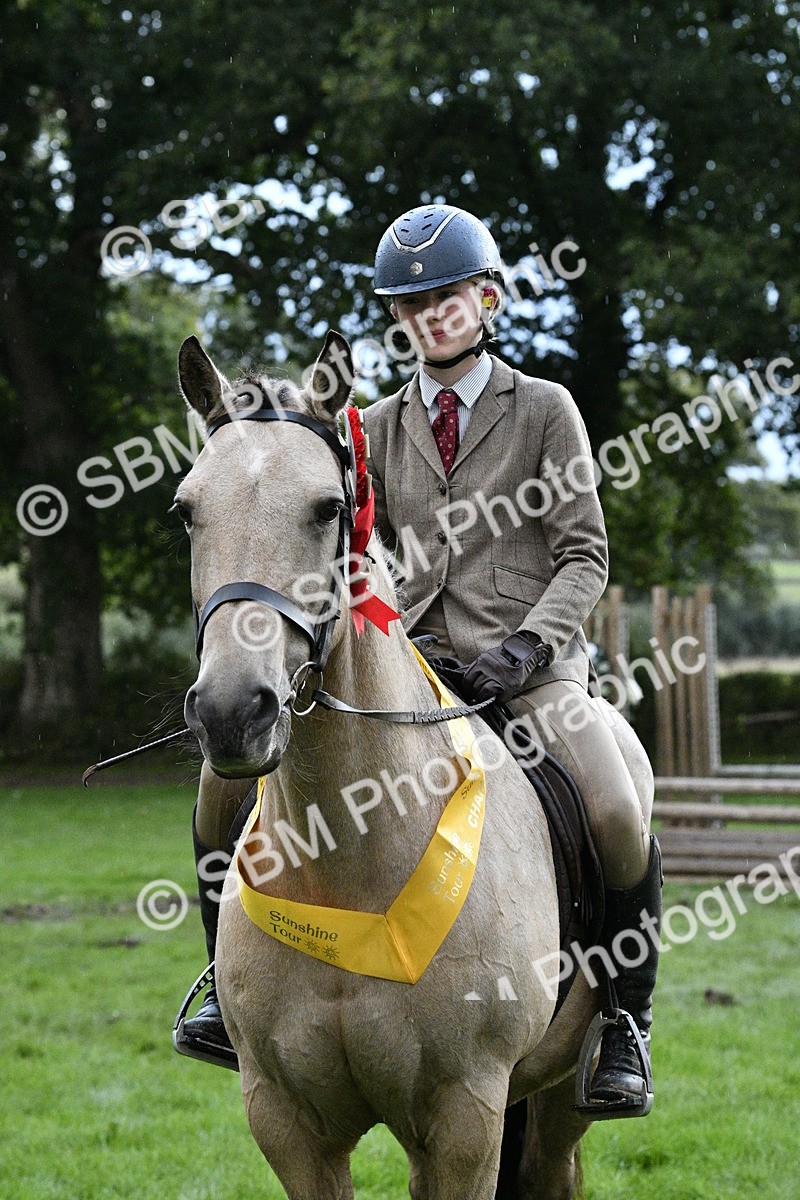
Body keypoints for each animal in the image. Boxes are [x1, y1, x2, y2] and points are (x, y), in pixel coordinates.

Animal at [176, 330, 653, 1200]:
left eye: (328, 510)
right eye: (187, 511)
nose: (233, 712)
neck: (350, 857)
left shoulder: (464, 1117)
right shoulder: (285, 1122)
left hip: (562, 1092)